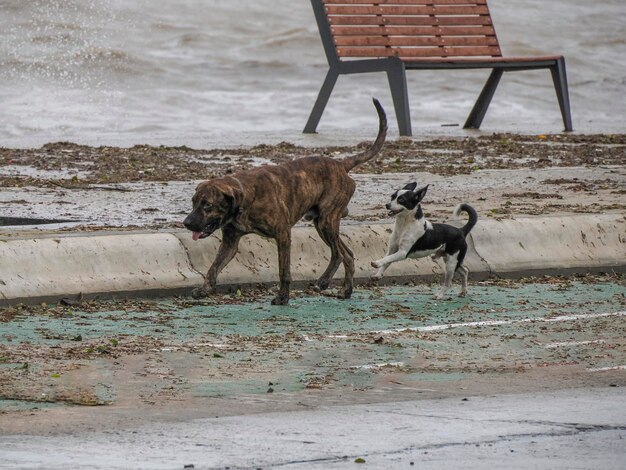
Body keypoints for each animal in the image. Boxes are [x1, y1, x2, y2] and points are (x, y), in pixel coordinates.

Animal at [182, 98, 386, 304]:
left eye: (208, 204)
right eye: (193, 202)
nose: (186, 223)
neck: (245, 199)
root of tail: (341, 164)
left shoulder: (283, 234)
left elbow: (284, 271)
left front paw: (282, 297)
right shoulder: (230, 242)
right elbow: (213, 268)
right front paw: (204, 289)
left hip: (327, 221)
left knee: (337, 254)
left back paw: (323, 281)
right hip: (322, 224)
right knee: (348, 254)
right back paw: (346, 290)